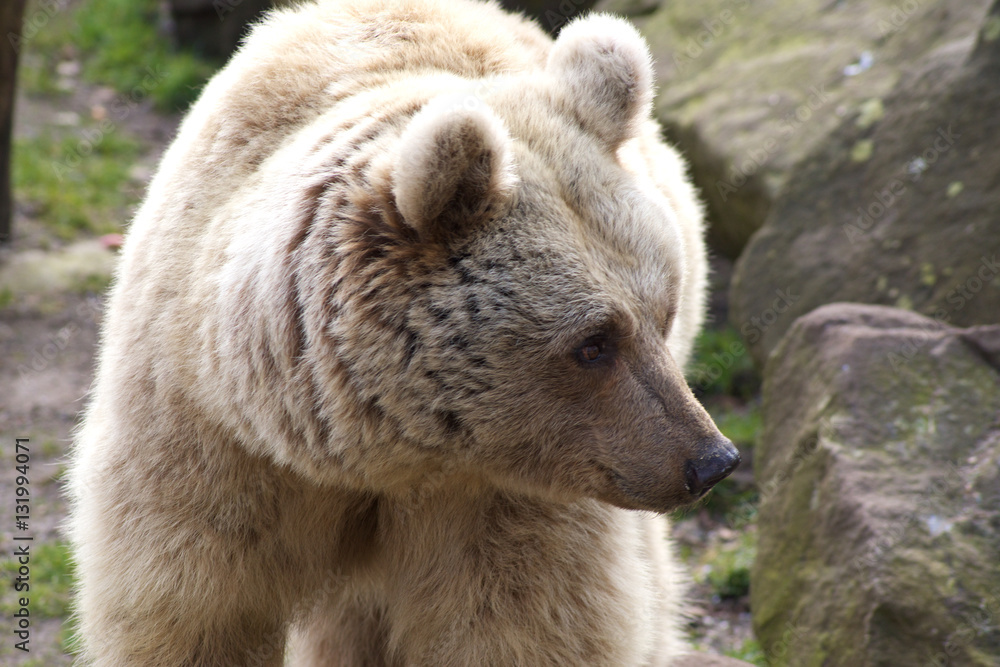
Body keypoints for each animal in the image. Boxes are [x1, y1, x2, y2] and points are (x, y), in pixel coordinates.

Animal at [67, 0, 740, 665]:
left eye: (663, 313)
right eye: (593, 343)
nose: (711, 461)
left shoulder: (507, 493)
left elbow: (530, 624)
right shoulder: (210, 447)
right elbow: (194, 616)